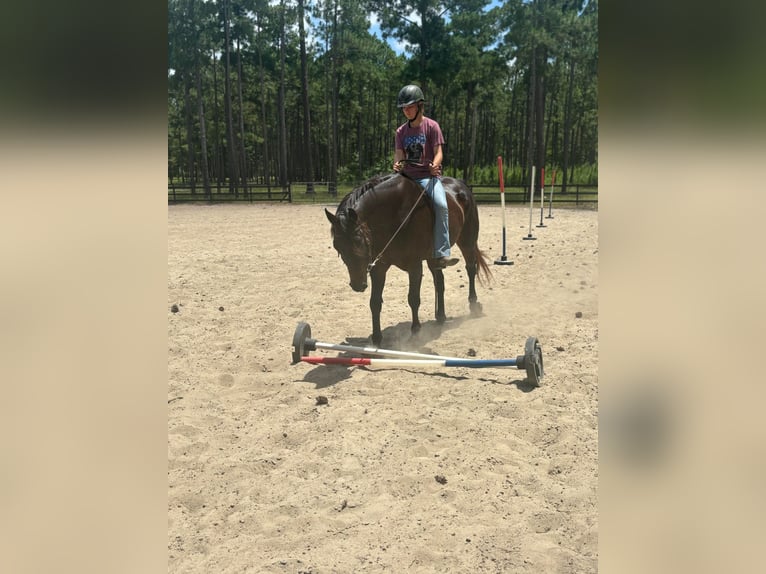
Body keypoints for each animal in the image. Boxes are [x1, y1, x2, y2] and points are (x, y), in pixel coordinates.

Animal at [324, 173, 492, 348]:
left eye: (357, 240)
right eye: (337, 246)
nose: (357, 285)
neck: (396, 214)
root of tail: (461, 186)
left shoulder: (414, 265)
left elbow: (413, 299)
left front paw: (416, 332)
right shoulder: (379, 267)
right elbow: (375, 302)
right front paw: (376, 339)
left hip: (467, 240)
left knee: (470, 269)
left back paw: (474, 305)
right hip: (433, 258)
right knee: (439, 281)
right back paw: (440, 316)